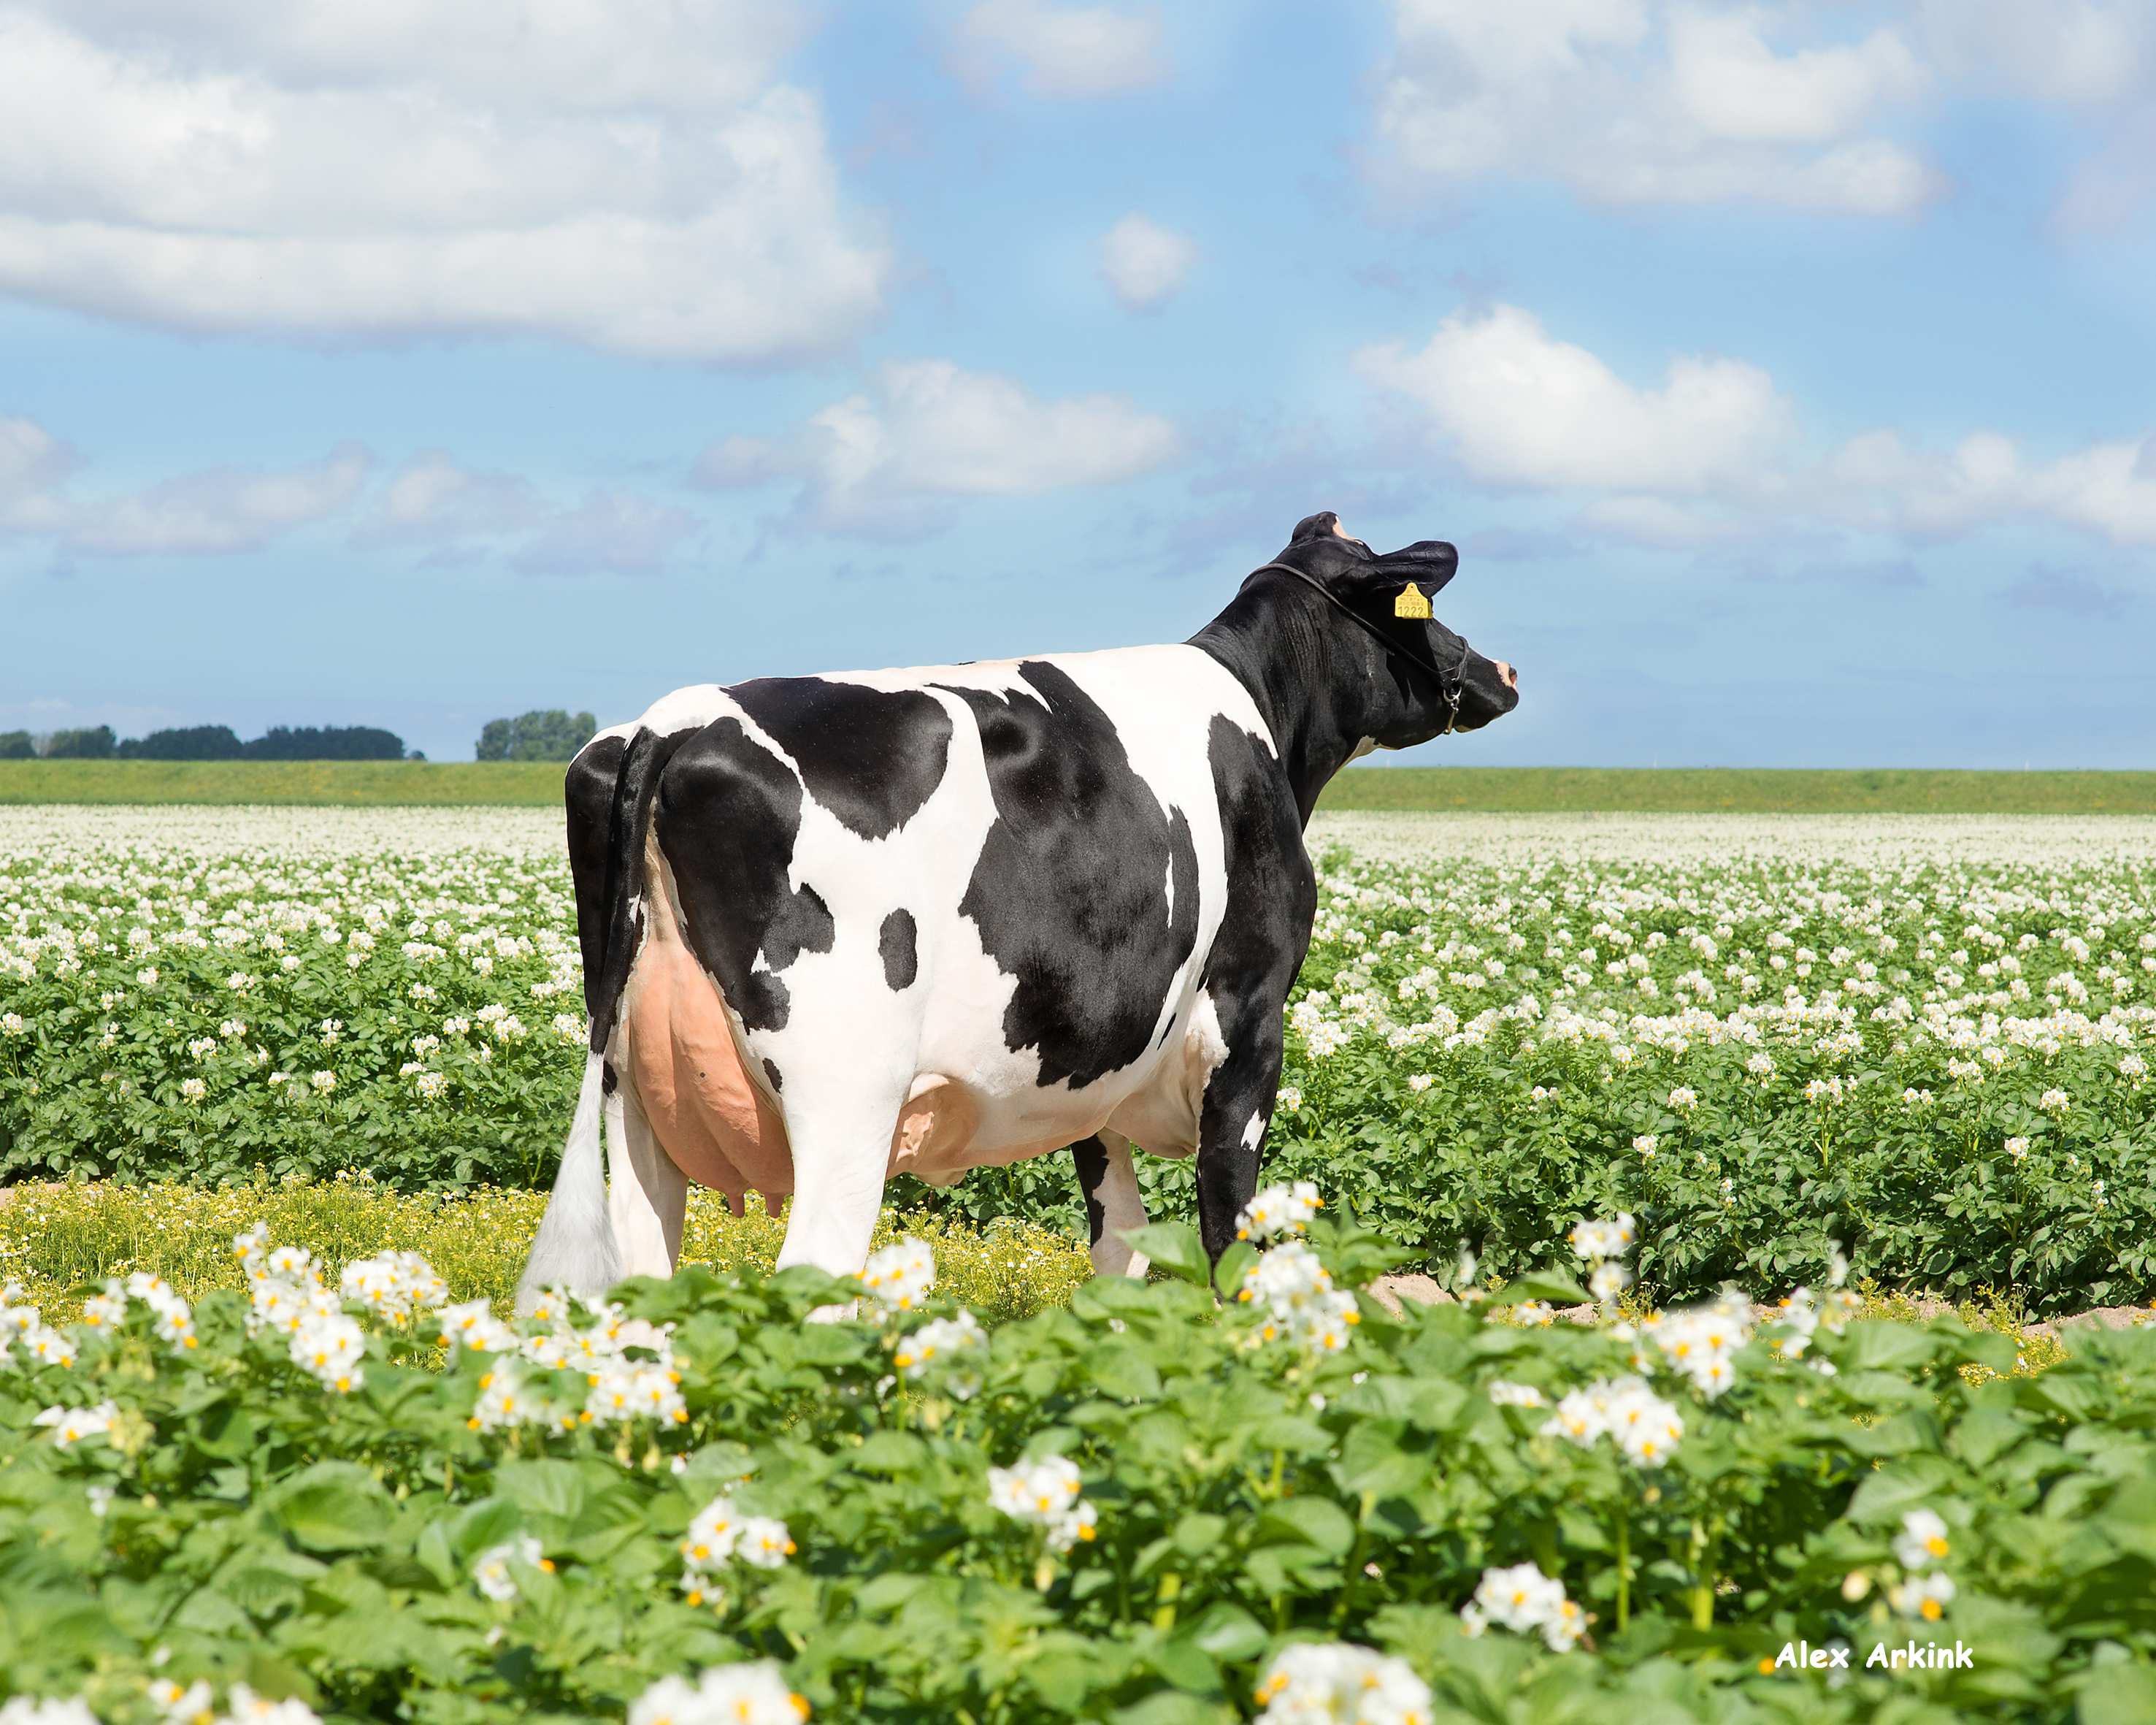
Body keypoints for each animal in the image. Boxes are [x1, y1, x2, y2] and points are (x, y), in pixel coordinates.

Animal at [521, 513, 1526, 1311]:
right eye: (1412, 606)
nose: (1502, 669)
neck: (1262, 719)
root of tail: (672, 722)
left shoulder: (1098, 1061)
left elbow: (1119, 1244)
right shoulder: (1247, 1022)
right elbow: (1227, 1234)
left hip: (636, 1098)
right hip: (846, 1093)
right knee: (815, 1277)